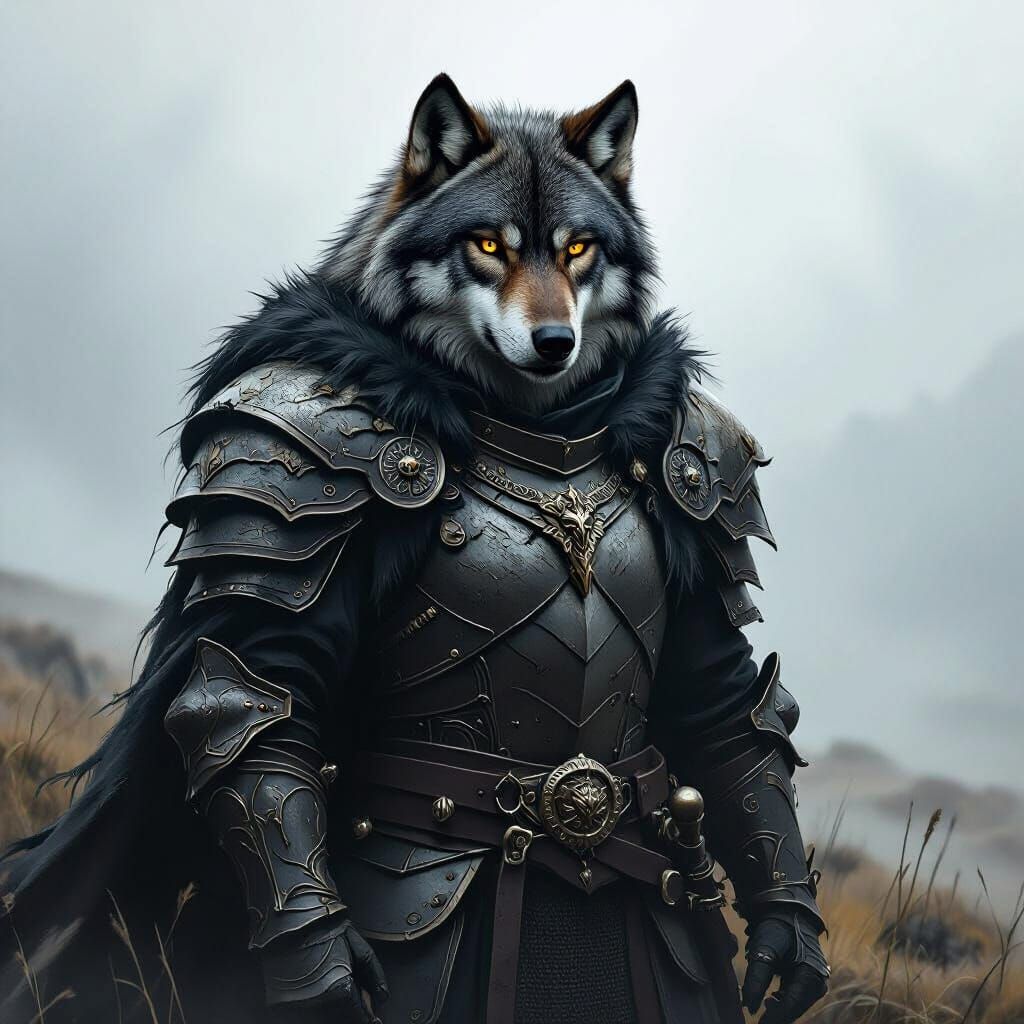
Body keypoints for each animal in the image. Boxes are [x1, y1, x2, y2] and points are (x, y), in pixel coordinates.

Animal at [1, 76, 829, 1024]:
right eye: (487, 246)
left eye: (579, 248)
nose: (556, 343)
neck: (541, 429)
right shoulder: (291, 456)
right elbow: (255, 696)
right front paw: (325, 972)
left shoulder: (701, 473)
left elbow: (726, 705)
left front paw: (788, 937)